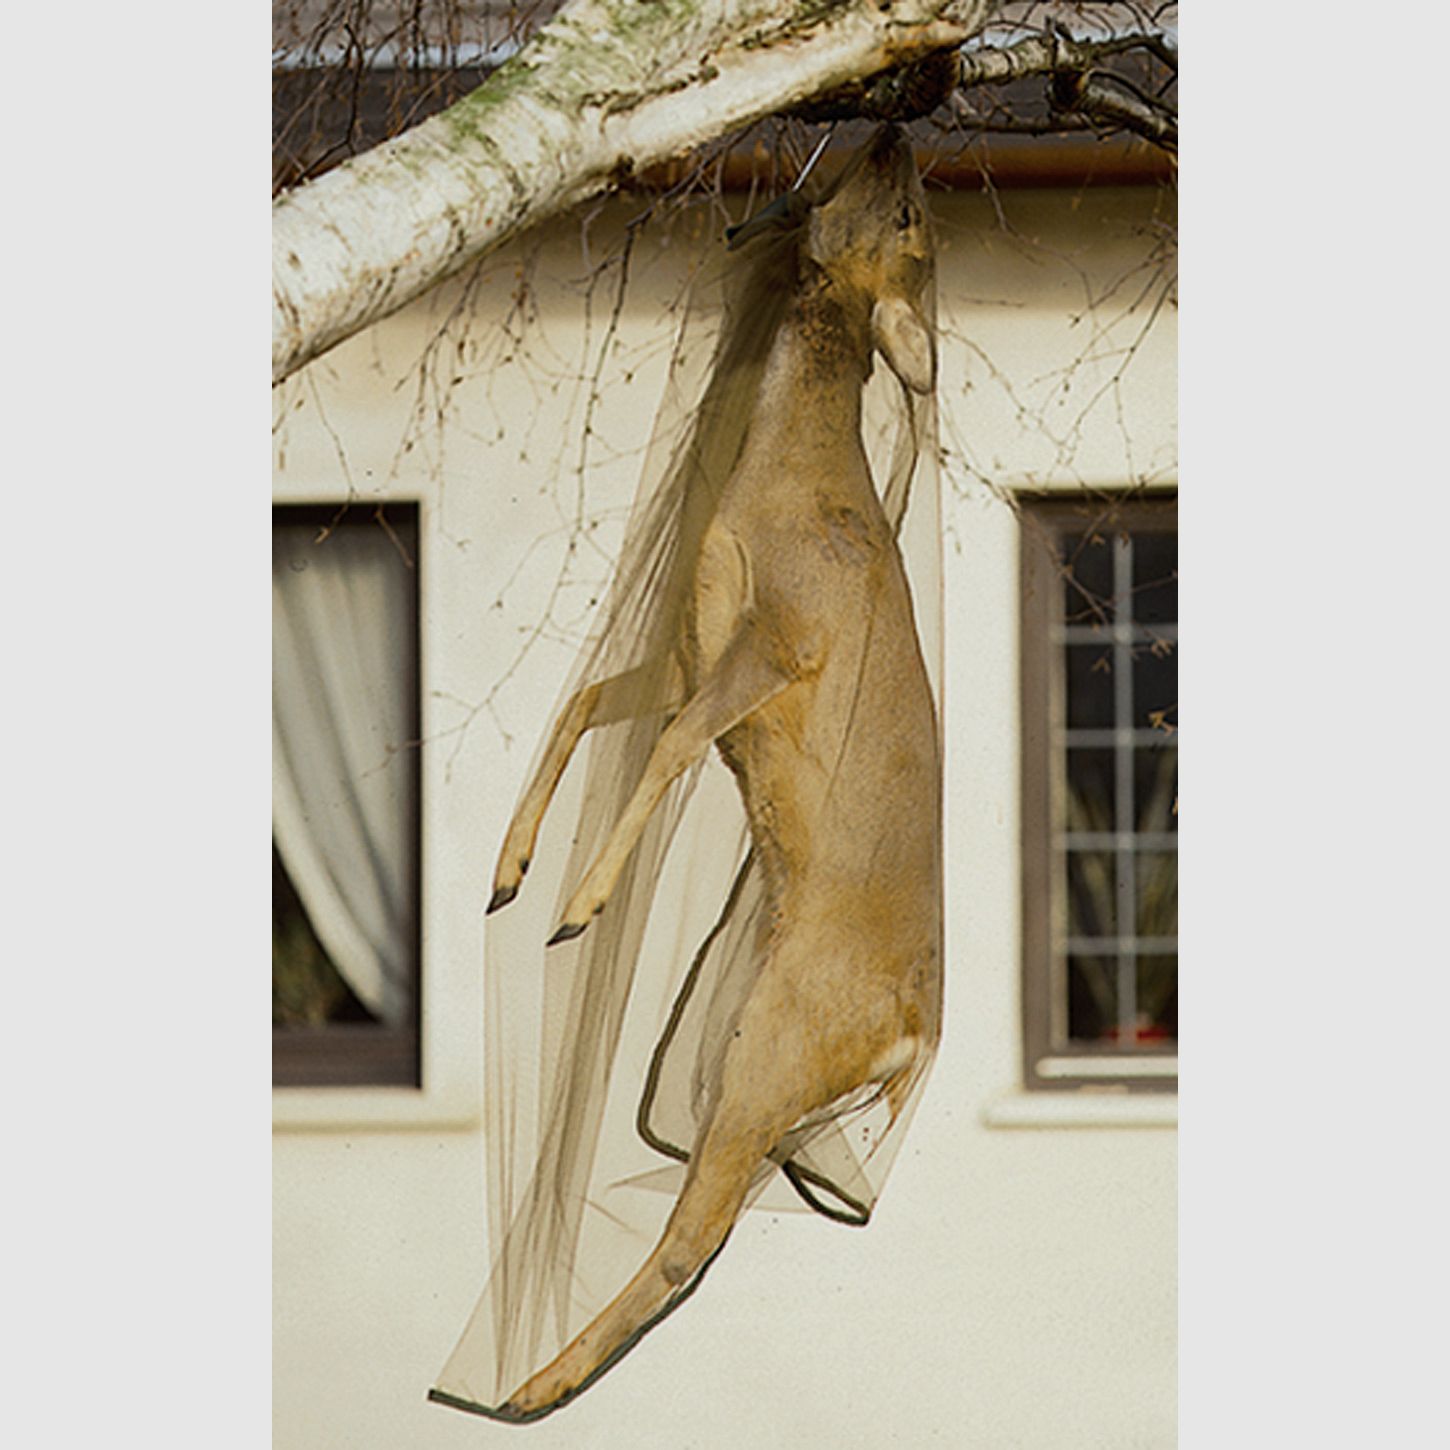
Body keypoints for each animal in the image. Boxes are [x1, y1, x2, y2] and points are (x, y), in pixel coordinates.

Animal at [480, 125, 943, 1421]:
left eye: (909, 218)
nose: (897, 129)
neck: (781, 478)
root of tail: (915, 1032)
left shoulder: (779, 644)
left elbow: (677, 740)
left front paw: (579, 907)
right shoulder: (697, 639)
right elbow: (593, 701)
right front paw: (510, 873)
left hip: (776, 1048)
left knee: (691, 1238)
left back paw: (530, 1385)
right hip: (759, 1056)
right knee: (709, 1233)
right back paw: (544, 1379)